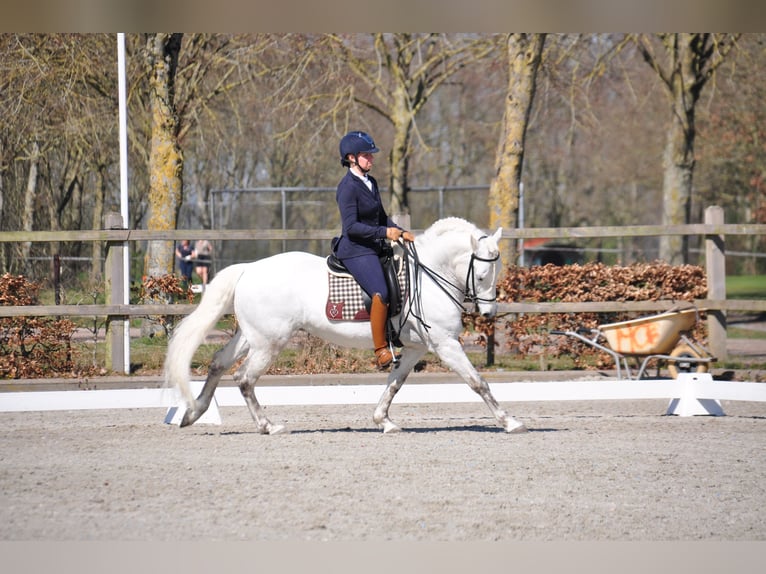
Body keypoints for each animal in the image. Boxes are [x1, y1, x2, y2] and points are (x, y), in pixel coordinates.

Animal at [163, 217, 527, 434]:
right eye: (482, 275)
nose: (489, 313)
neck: (430, 274)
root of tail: (248, 268)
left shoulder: (416, 347)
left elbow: (395, 383)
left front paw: (384, 422)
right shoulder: (446, 344)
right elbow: (478, 382)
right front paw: (510, 421)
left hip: (251, 336)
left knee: (218, 363)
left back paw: (193, 412)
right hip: (269, 342)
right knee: (244, 378)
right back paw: (268, 426)